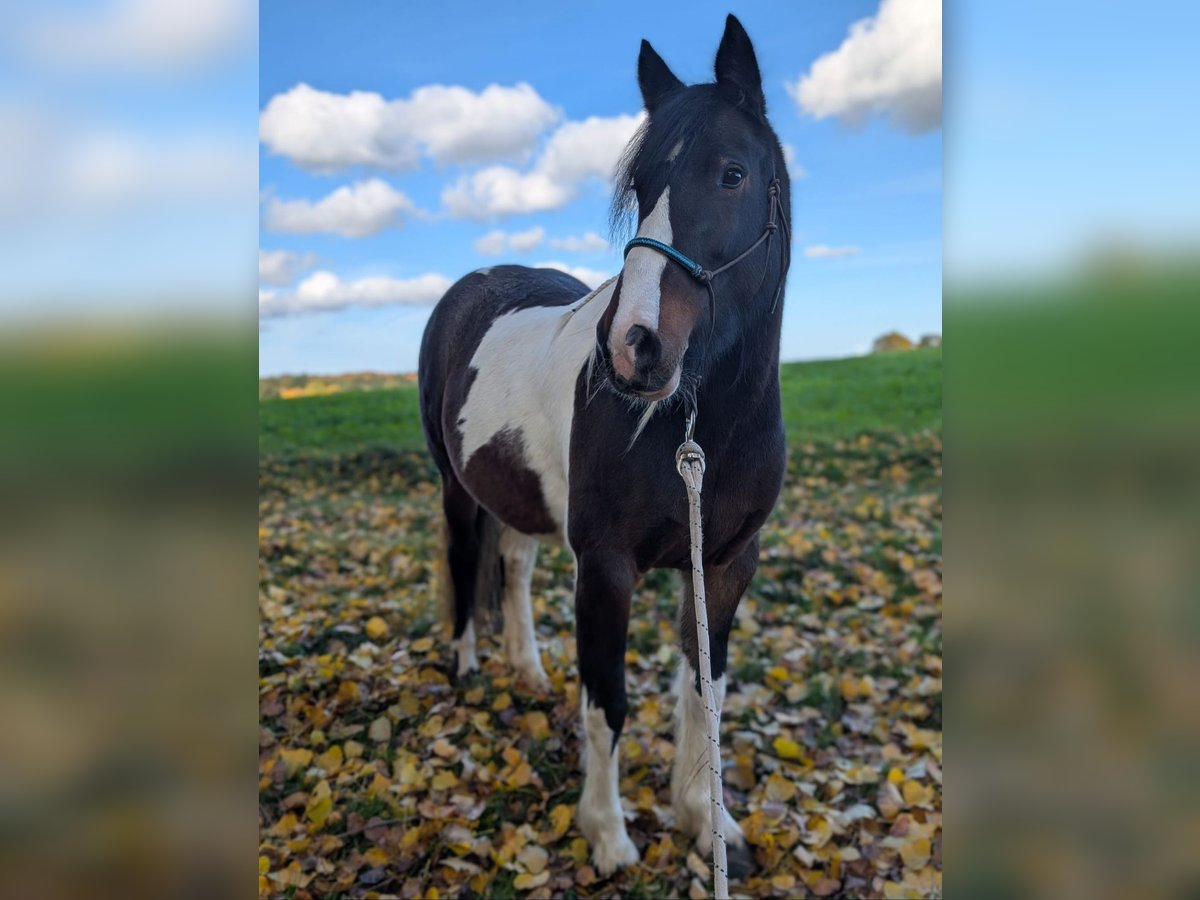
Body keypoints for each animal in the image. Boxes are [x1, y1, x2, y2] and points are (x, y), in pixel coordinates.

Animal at [418, 14, 790, 877]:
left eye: (732, 173)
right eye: (640, 190)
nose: (631, 348)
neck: (698, 428)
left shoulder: (725, 564)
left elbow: (703, 690)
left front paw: (704, 821)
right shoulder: (607, 566)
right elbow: (608, 699)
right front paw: (608, 835)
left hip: (520, 494)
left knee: (513, 565)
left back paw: (526, 668)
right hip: (457, 486)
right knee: (465, 558)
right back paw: (468, 665)